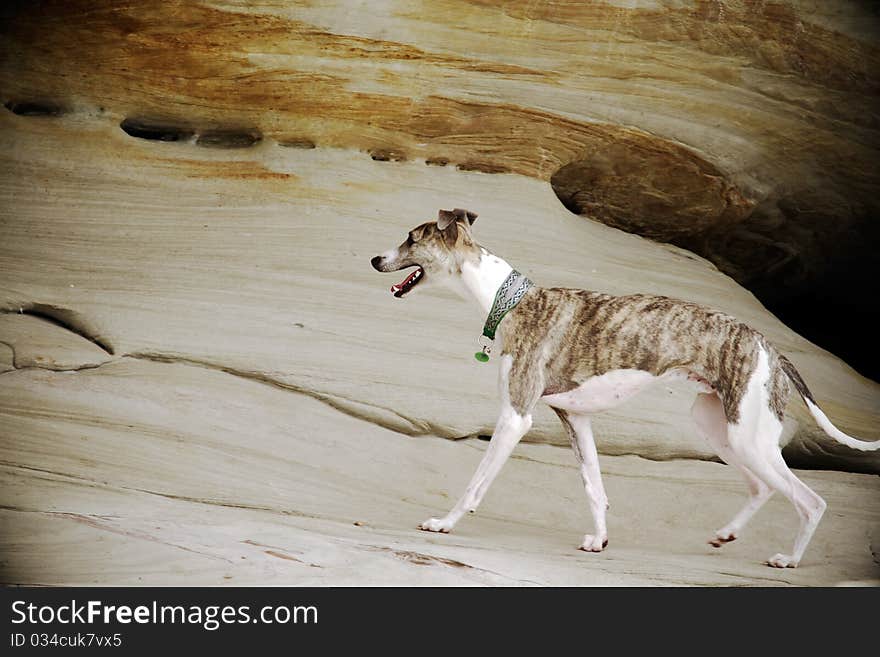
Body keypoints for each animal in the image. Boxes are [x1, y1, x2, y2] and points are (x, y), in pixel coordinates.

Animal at [368, 208, 876, 568]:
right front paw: (599, 540)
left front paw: (443, 523)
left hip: (747, 435)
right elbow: (595, 487)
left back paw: (788, 559)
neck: (508, 301)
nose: (374, 259)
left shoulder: (516, 416)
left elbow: (476, 483)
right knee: (761, 487)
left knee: (810, 500)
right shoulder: (575, 418)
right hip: (717, 426)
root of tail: (770, 346)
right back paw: (726, 534)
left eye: (411, 238)